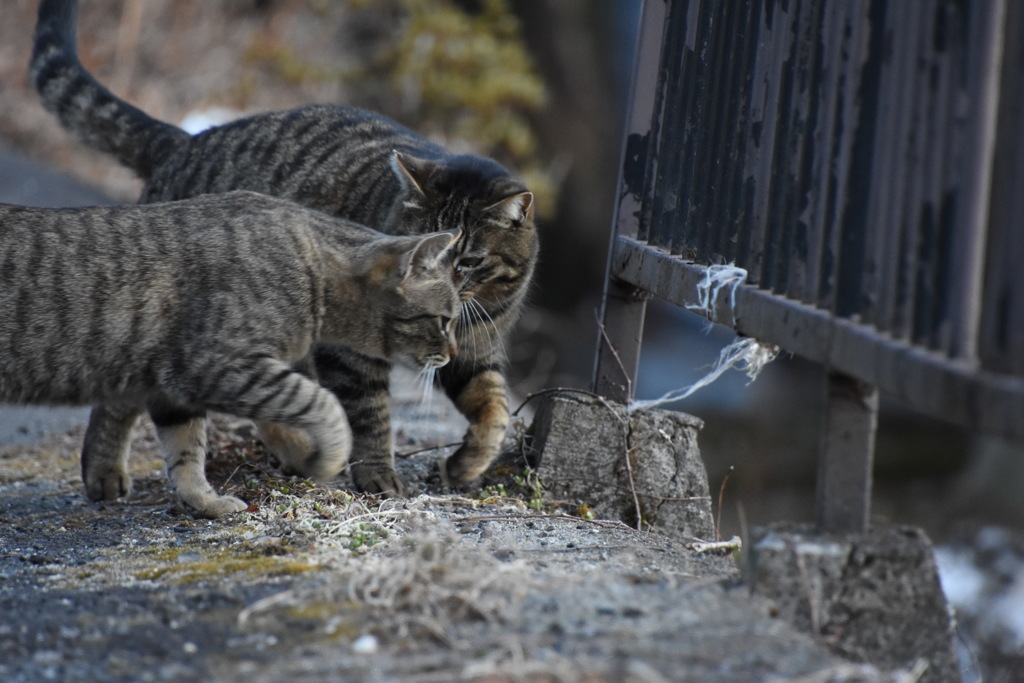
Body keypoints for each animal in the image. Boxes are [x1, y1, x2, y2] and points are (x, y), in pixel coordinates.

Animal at [0, 189, 458, 516]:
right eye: (445, 320)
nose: (453, 353)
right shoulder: (212, 366)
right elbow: (321, 403)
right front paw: (325, 458)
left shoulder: (173, 391)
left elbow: (186, 454)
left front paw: (205, 502)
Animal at [29, 0, 544, 497]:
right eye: (430, 252)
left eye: (468, 261)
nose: (443, 290)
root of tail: (185, 141)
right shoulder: (349, 355)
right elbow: (371, 415)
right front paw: (378, 473)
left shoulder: (474, 348)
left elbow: (494, 407)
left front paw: (467, 465)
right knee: (126, 398)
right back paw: (103, 471)